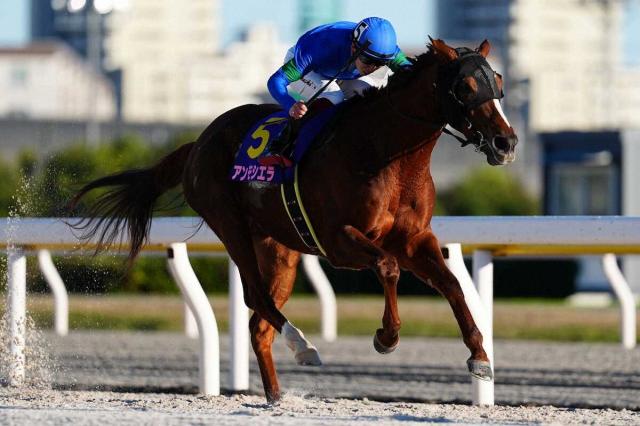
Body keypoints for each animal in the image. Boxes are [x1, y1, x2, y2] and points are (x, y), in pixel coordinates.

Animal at [69, 38, 517, 403]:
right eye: (465, 87)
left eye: (497, 80)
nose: (506, 142)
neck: (385, 153)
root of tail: (198, 142)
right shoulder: (338, 240)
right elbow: (388, 268)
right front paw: (386, 337)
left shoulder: (415, 239)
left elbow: (451, 283)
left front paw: (480, 356)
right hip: (229, 224)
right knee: (256, 297)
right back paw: (302, 346)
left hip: (279, 248)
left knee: (257, 323)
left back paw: (275, 396)